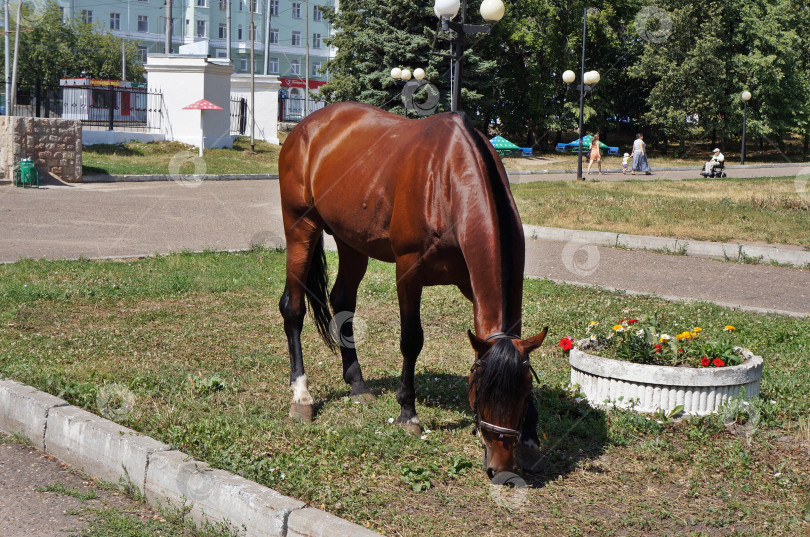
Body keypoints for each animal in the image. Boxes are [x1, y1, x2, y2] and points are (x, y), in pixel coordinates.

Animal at [274, 101, 548, 478]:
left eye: (521, 392)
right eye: (482, 391)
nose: (501, 467)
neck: (448, 180)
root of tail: (305, 128)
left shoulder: (495, 283)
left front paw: (532, 436)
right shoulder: (408, 273)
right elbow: (411, 341)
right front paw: (408, 413)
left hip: (351, 241)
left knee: (342, 302)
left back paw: (357, 383)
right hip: (300, 227)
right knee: (294, 308)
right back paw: (301, 394)